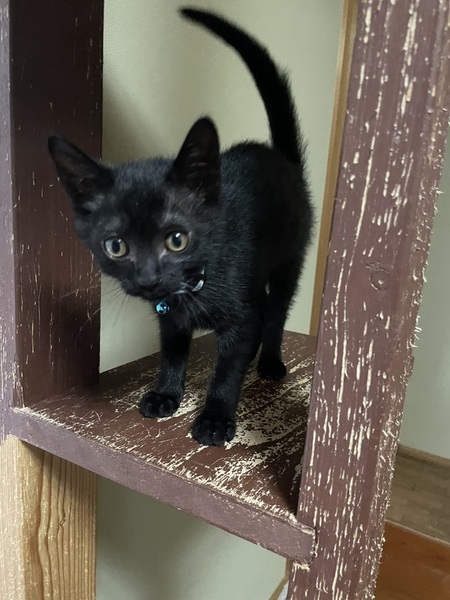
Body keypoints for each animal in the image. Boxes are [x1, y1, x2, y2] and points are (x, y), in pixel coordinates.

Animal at [48, 8, 312, 446]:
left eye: (177, 239)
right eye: (116, 246)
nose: (148, 278)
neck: (194, 287)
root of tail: (281, 160)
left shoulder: (238, 314)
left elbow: (228, 367)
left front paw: (216, 417)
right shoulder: (168, 316)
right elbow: (172, 351)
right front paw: (166, 393)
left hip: (290, 257)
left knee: (275, 309)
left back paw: (270, 360)